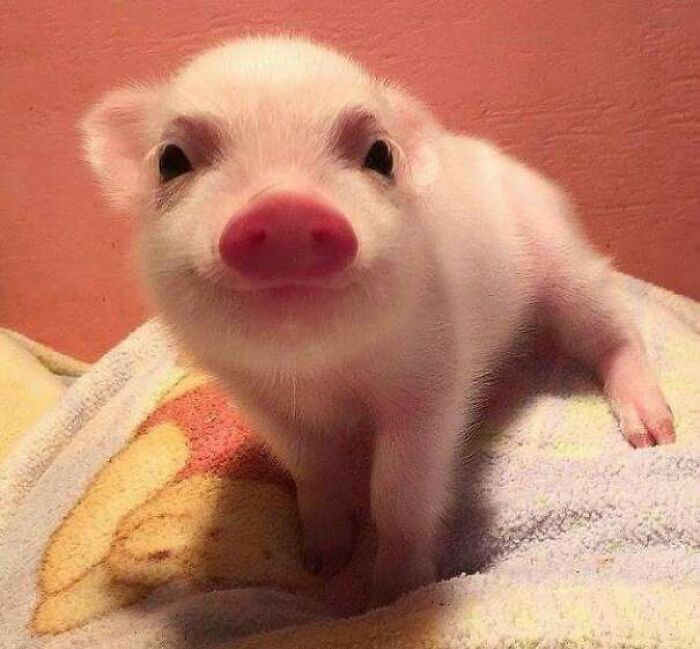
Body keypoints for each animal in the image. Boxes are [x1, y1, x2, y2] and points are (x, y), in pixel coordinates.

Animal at [81, 35, 675, 605]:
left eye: (380, 155)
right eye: (171, 160)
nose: (286, 207)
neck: (317, 375)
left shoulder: (431, 381)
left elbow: (400, 492)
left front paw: (392, 596)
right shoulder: (258, 400)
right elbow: (312, 471)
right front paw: (321, 563)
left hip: (565, 260)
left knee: (615, 325)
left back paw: (654, 434)